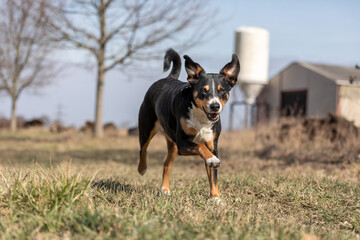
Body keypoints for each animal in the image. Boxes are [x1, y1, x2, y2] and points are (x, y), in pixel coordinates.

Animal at [138, 48, 239, 199]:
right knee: (143, 149)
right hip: (147, 128)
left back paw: (165, 189)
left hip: (173, 144)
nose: (215, 106)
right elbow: (200, 147)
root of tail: (169, 78)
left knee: (166, 163)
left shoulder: (212, 144)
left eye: (222, 90)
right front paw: (213, 160)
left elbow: (213, 175)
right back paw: (142, 168)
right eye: (204, 90)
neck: (201, 118)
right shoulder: (183, 143)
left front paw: (215, 197)